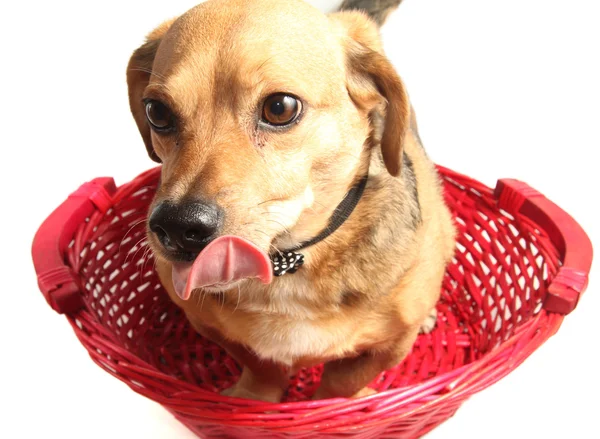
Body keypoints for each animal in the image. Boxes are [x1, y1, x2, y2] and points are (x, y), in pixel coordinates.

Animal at [125, 0, 454, 402]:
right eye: (156, 111)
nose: (176, 226)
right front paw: (255, 399)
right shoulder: (209, 325)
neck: (289, 262)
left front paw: (335, 405)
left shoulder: (391, 345)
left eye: (280, 108)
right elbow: (260, 365)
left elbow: (341, 384)